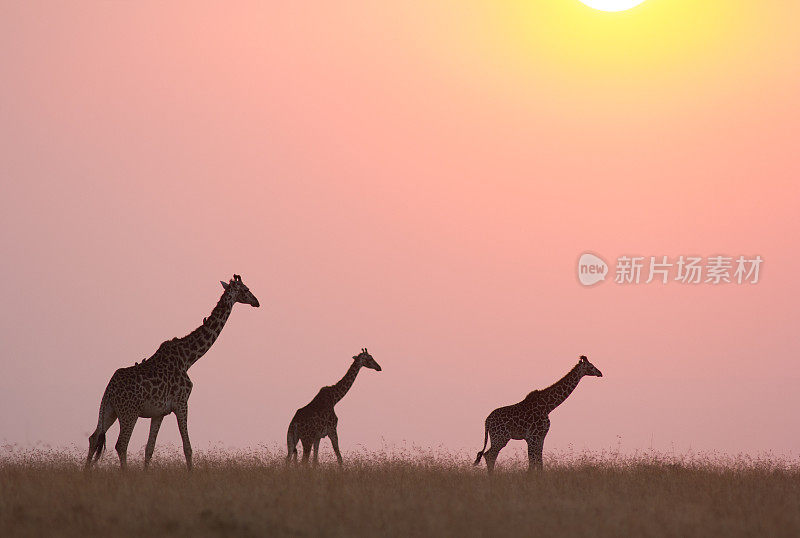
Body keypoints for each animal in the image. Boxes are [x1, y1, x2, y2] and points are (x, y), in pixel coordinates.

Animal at [83, 272, 260, 468]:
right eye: (246, 289)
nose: (257, 302)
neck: (188, 358)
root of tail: (109, 389)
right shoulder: (181, 402)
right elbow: (187, 448)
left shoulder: (159, 412)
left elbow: (149, 449)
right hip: (129, 412)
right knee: (121, 444)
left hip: (109, 410)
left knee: (94, 437)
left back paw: (87, 472)